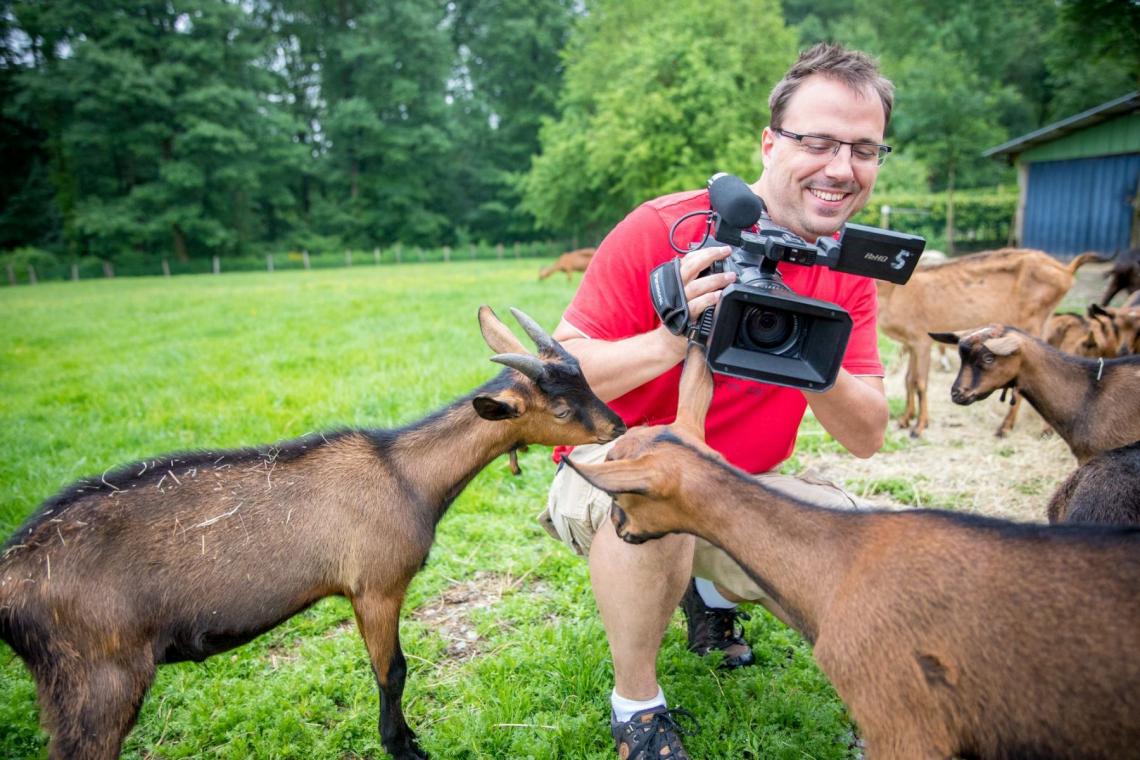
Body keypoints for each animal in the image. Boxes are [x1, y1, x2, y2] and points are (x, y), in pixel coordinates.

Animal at [0, 307, 624, 760]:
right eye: (561, 409)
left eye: (585, 377)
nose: (618, 426)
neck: (404, 473)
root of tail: (9, 575)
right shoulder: (375, 584)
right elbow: (392, 671)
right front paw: (403, 746)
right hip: (97, 678)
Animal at [870, 248, 1103, 437]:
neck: (894, 293)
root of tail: (1066, 270)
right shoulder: (910, 343)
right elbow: (908, 380)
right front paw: (904, 420)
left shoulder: (921, 340)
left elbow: (920, 383)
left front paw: (919, 427)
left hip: (1032, 323)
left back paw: (1007, 427)